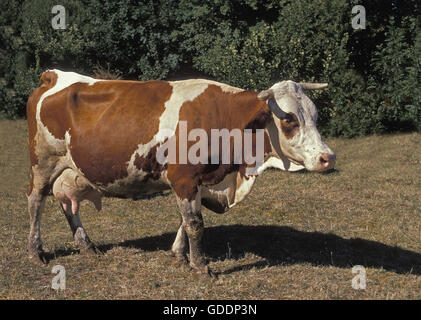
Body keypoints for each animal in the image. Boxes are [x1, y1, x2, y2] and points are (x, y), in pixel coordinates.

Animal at [26, 69, 334, 278]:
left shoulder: (196, 182)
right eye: (289, 119)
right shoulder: (184, 178)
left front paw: (179, 255)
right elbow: (195, 224)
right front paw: (201, 266)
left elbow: (185, 221)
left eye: (315, 116)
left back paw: (86, 245)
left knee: (68, 205)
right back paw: (36, 251)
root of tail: (54, 76)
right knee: (36, 201)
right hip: (42, 162)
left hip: (69, 169)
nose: (327, 157)